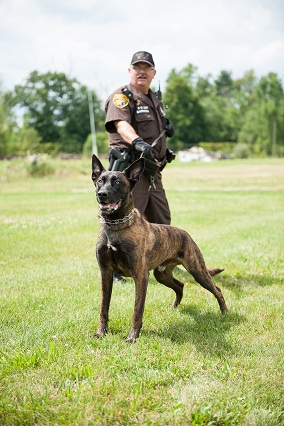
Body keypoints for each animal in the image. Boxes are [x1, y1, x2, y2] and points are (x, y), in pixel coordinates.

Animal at [91, 154, 229, 342]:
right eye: (100, 181)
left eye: (117, 182)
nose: (102, 194)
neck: (116, 226)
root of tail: (185, 234)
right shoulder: (106, 273)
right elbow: (103, 308)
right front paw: (101, 332)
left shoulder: (141, 276)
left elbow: (137, 310)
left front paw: (132, 337)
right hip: (162, 274)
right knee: (180, 286)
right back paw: (175, 306)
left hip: (198, 271)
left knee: (217, 289)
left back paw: (225, 312)